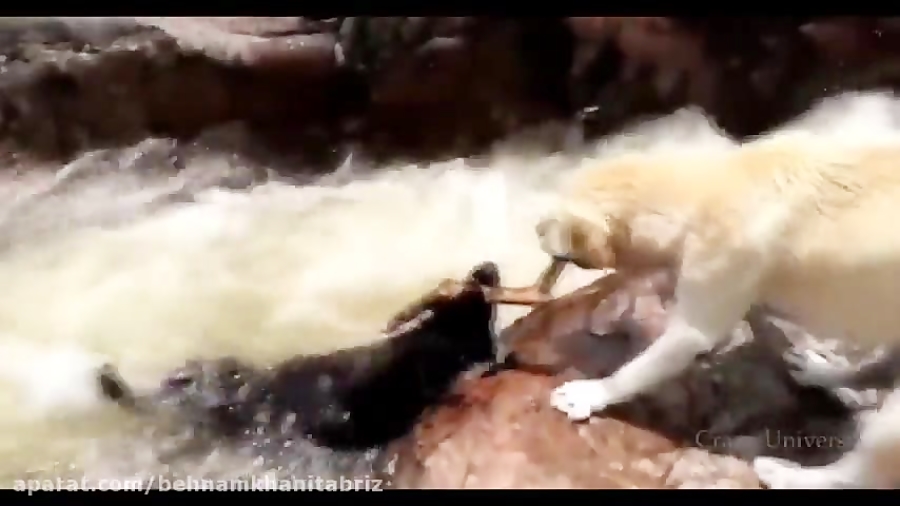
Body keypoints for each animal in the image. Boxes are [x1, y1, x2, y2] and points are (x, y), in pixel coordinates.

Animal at [533, 131, 900, 488]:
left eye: (553, 227)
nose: (535, 228)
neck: (710, 189)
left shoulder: (707, 294)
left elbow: (647, 362)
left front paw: (591, 392)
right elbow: (763, 324)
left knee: (859, 471)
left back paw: (786, 474)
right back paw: (819, 372)